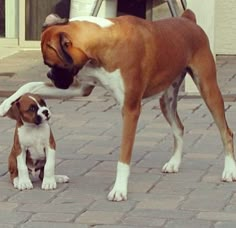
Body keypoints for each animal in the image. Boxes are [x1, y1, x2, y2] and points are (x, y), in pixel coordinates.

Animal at [0, 9, 235, 200]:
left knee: (226, 132)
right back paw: (174, 163)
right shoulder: (80, 88)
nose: (50, 75)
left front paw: (119, 190)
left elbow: (124, 157)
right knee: (179, 127)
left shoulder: (130, 110)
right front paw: (6, 104)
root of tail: (187, 19)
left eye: (51, 63)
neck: (105, 42)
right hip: (166, 100)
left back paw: (229, 171)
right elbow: (31, 85)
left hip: (208, 89)